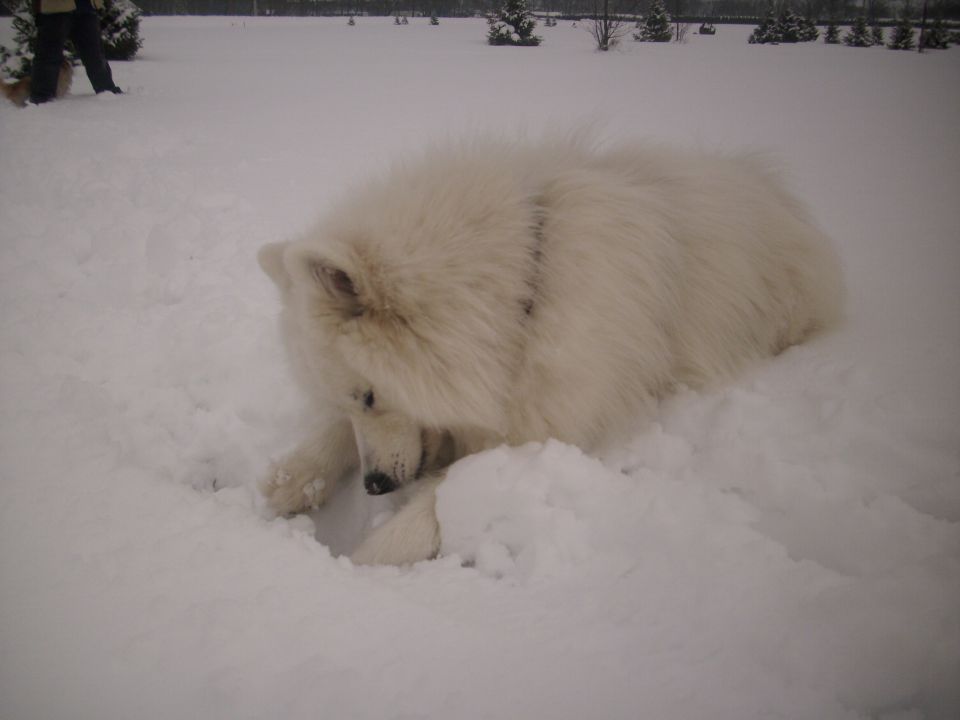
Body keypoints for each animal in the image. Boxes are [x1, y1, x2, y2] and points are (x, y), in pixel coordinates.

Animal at [258, 134, 844, 564]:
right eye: (353, 400)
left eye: (372, 396)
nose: (375, 486)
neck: (521, 295)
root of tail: (773, 188)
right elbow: (335, 439)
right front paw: (293, 479)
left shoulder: (535, 432)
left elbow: (441, 505)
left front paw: (356, 565)